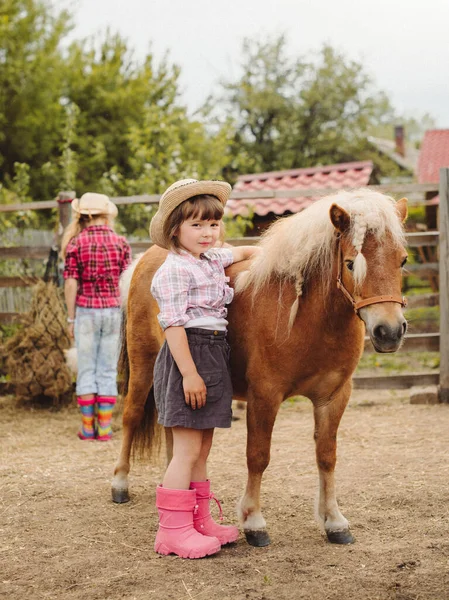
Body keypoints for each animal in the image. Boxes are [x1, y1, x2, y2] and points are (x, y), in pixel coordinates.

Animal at [111, 190, 406, 548]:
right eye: (351, 263)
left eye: (402, 260)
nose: (389, 332)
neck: (306, 315)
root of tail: (146, 259)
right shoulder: (265, 395)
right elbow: (258, 455)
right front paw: (253, 521)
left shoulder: (334, 398)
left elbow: (327, 455)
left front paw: (334, 521)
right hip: (143, 367)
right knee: (131, 416)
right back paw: (120, 484)